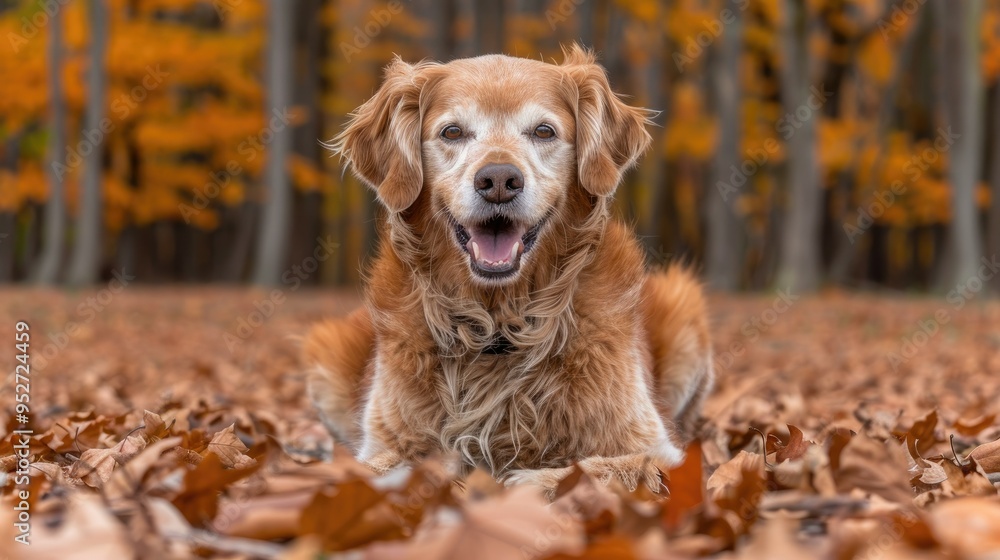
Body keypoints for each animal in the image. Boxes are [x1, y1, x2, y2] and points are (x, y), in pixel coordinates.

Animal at [300, 46, 716, 496]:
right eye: (452, 132)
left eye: (544, 131)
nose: (498, 180)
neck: (499, 321)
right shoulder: (384, 438)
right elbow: (373, 467)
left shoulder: (660, 449)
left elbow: (610, 467)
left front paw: (520, 484)